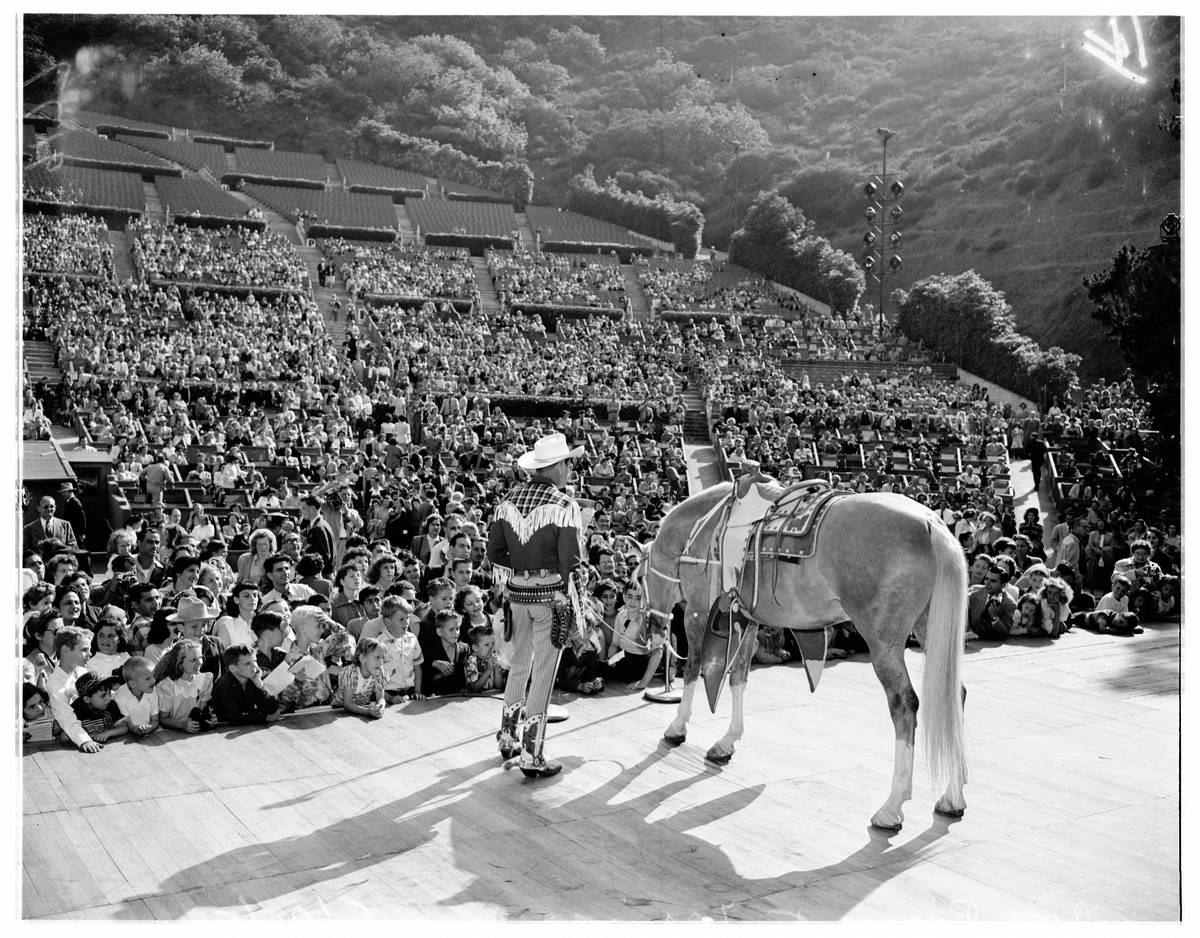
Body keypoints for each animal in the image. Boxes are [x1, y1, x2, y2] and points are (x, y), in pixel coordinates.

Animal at [643, 482, 969, 834]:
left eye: (641, 579)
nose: (652, 628)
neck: (703, 527)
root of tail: (931, 526)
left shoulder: (698, 612)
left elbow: (693, 668)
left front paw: (678, 726)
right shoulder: (748, 619)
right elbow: (738, 676)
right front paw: (728, 740)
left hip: (884, 644)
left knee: (904, 705)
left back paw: (892, 806)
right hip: (928, 627)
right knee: (954, 696)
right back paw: (952, 797)